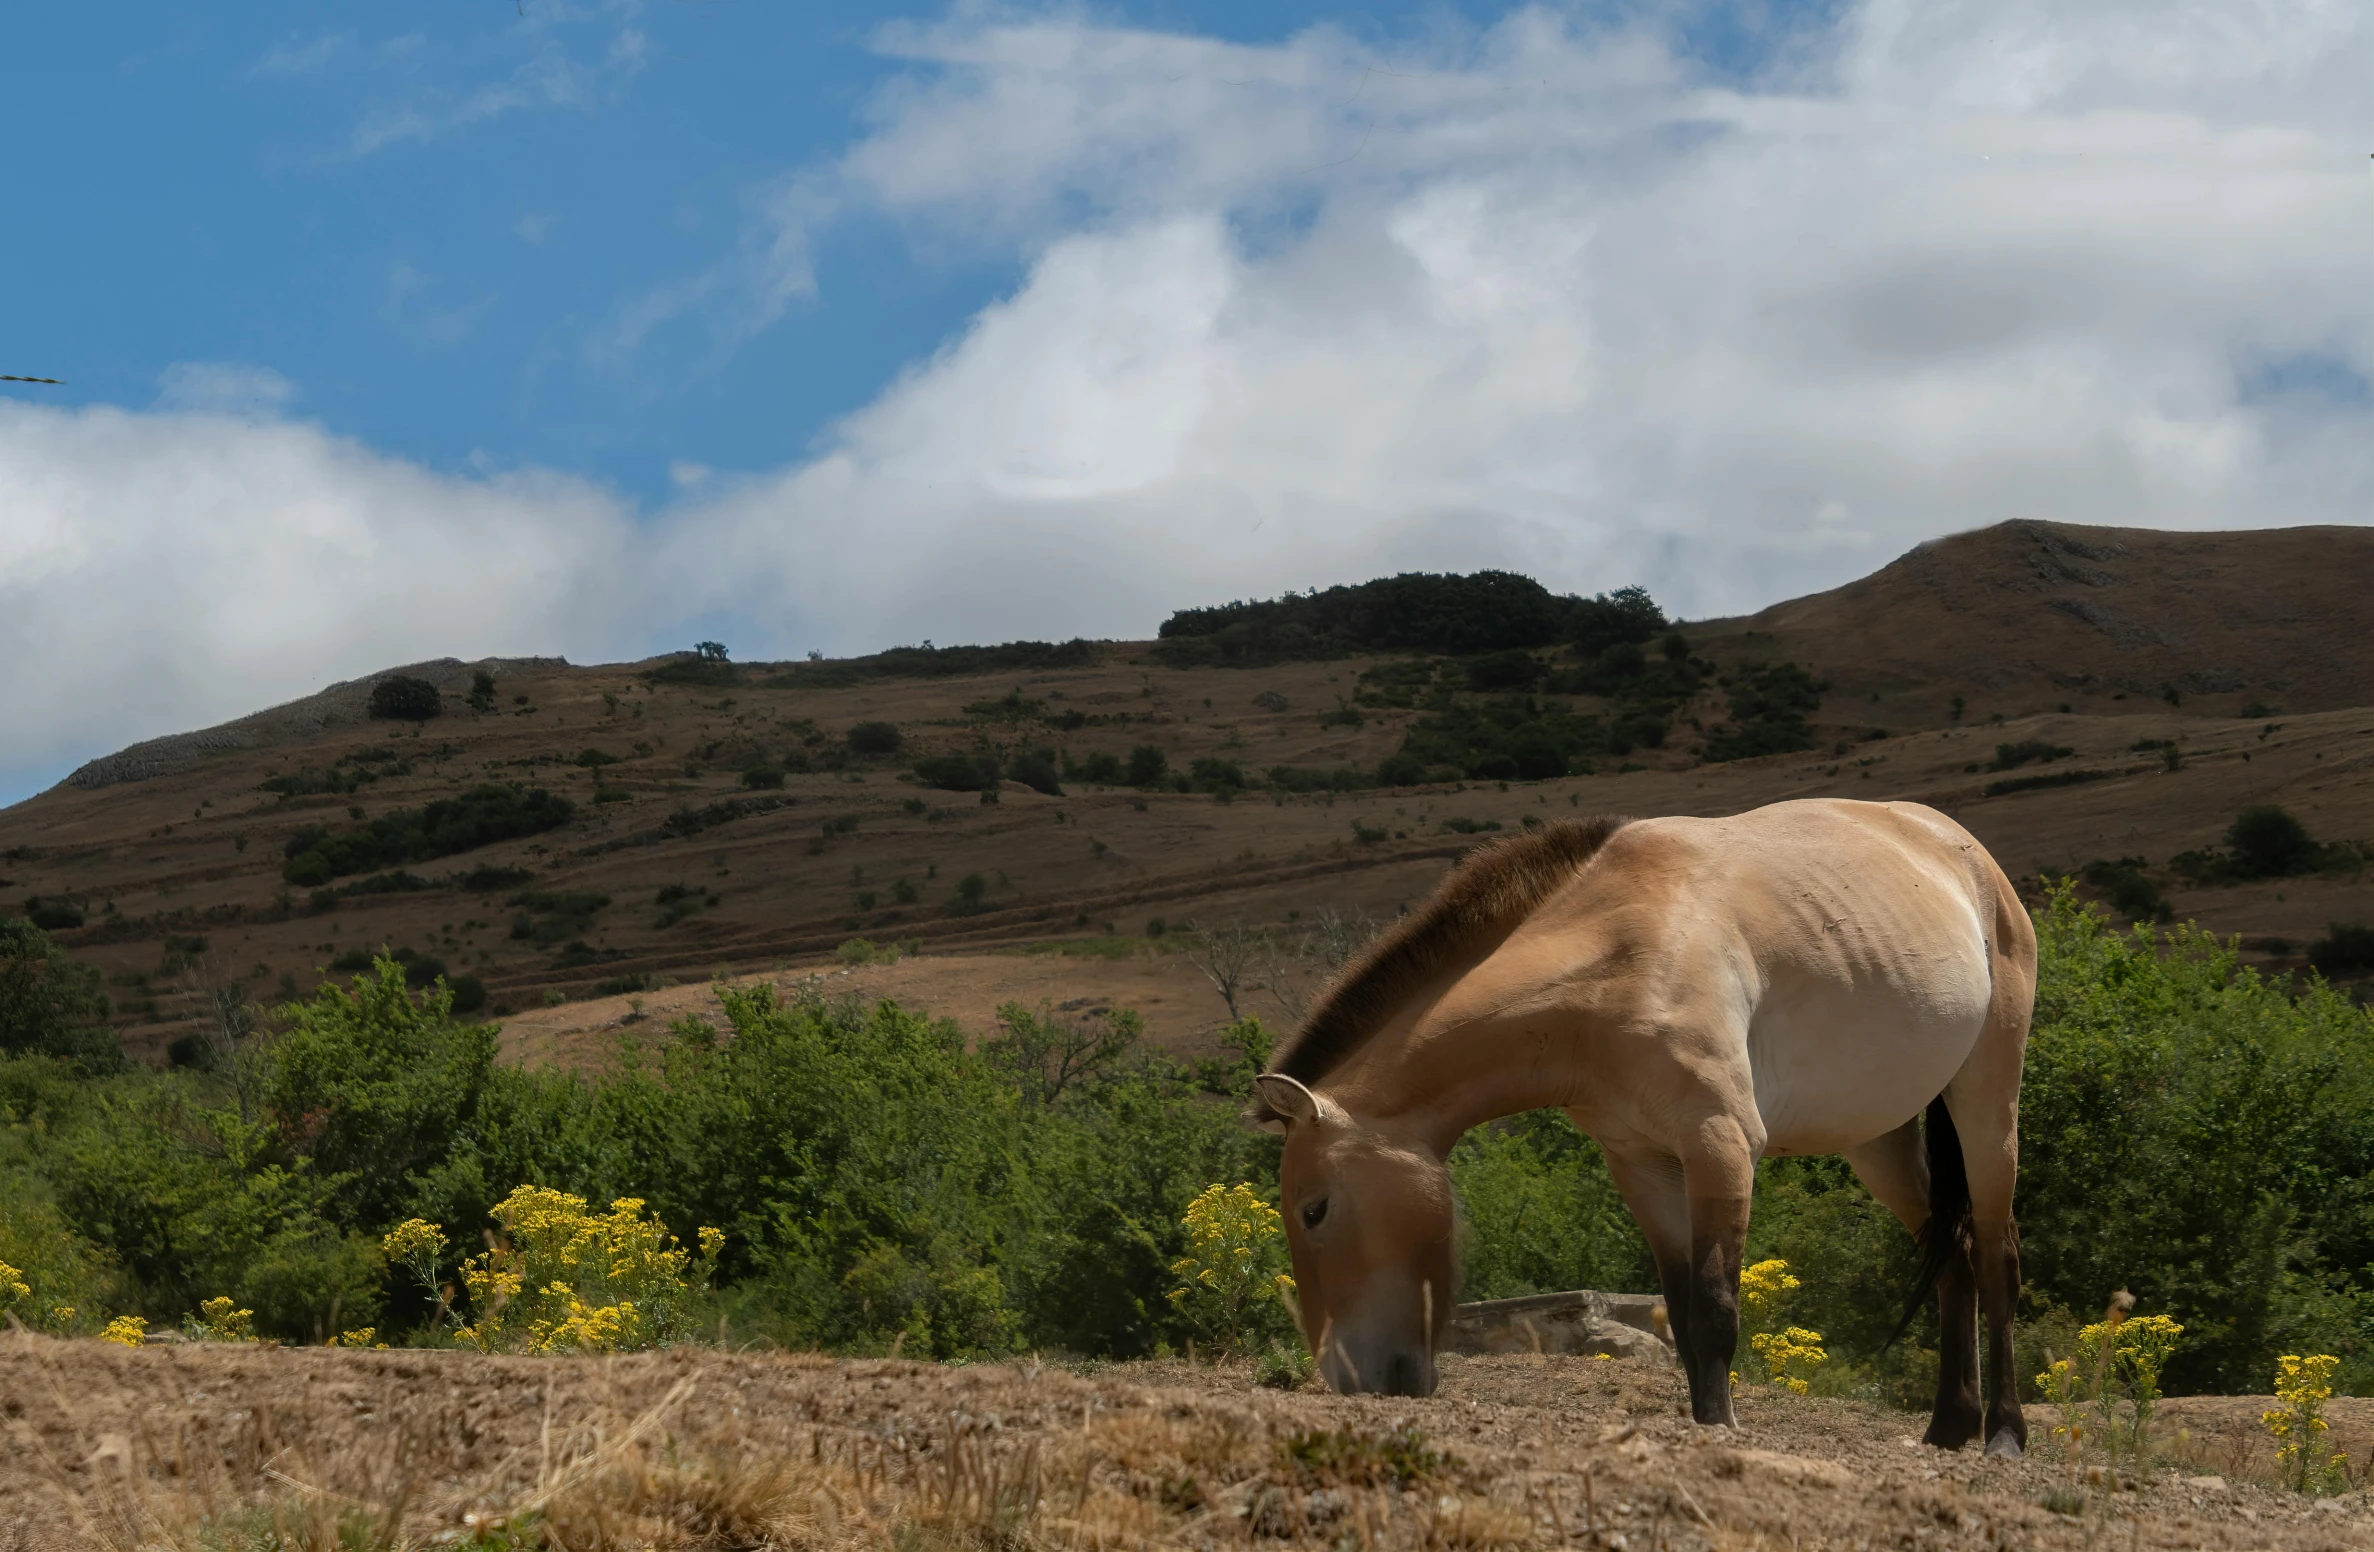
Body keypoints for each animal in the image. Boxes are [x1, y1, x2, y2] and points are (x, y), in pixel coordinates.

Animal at [1253, 802, 2032, 1461]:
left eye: (1314, 1210)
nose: (1346, 1375)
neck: (1617, 958)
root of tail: (1963, 853)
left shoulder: (1721, 1145)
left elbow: (1715, 1309)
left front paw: (1722, 1429)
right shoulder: (1642, 1165)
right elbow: (1683, 1316)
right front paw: (1705, 1420)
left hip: (1988, 1110)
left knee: (1996, 1259)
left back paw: (2004, 1434)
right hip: (1879, 1140)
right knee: (1953, 1254)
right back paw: (1948, 1426)